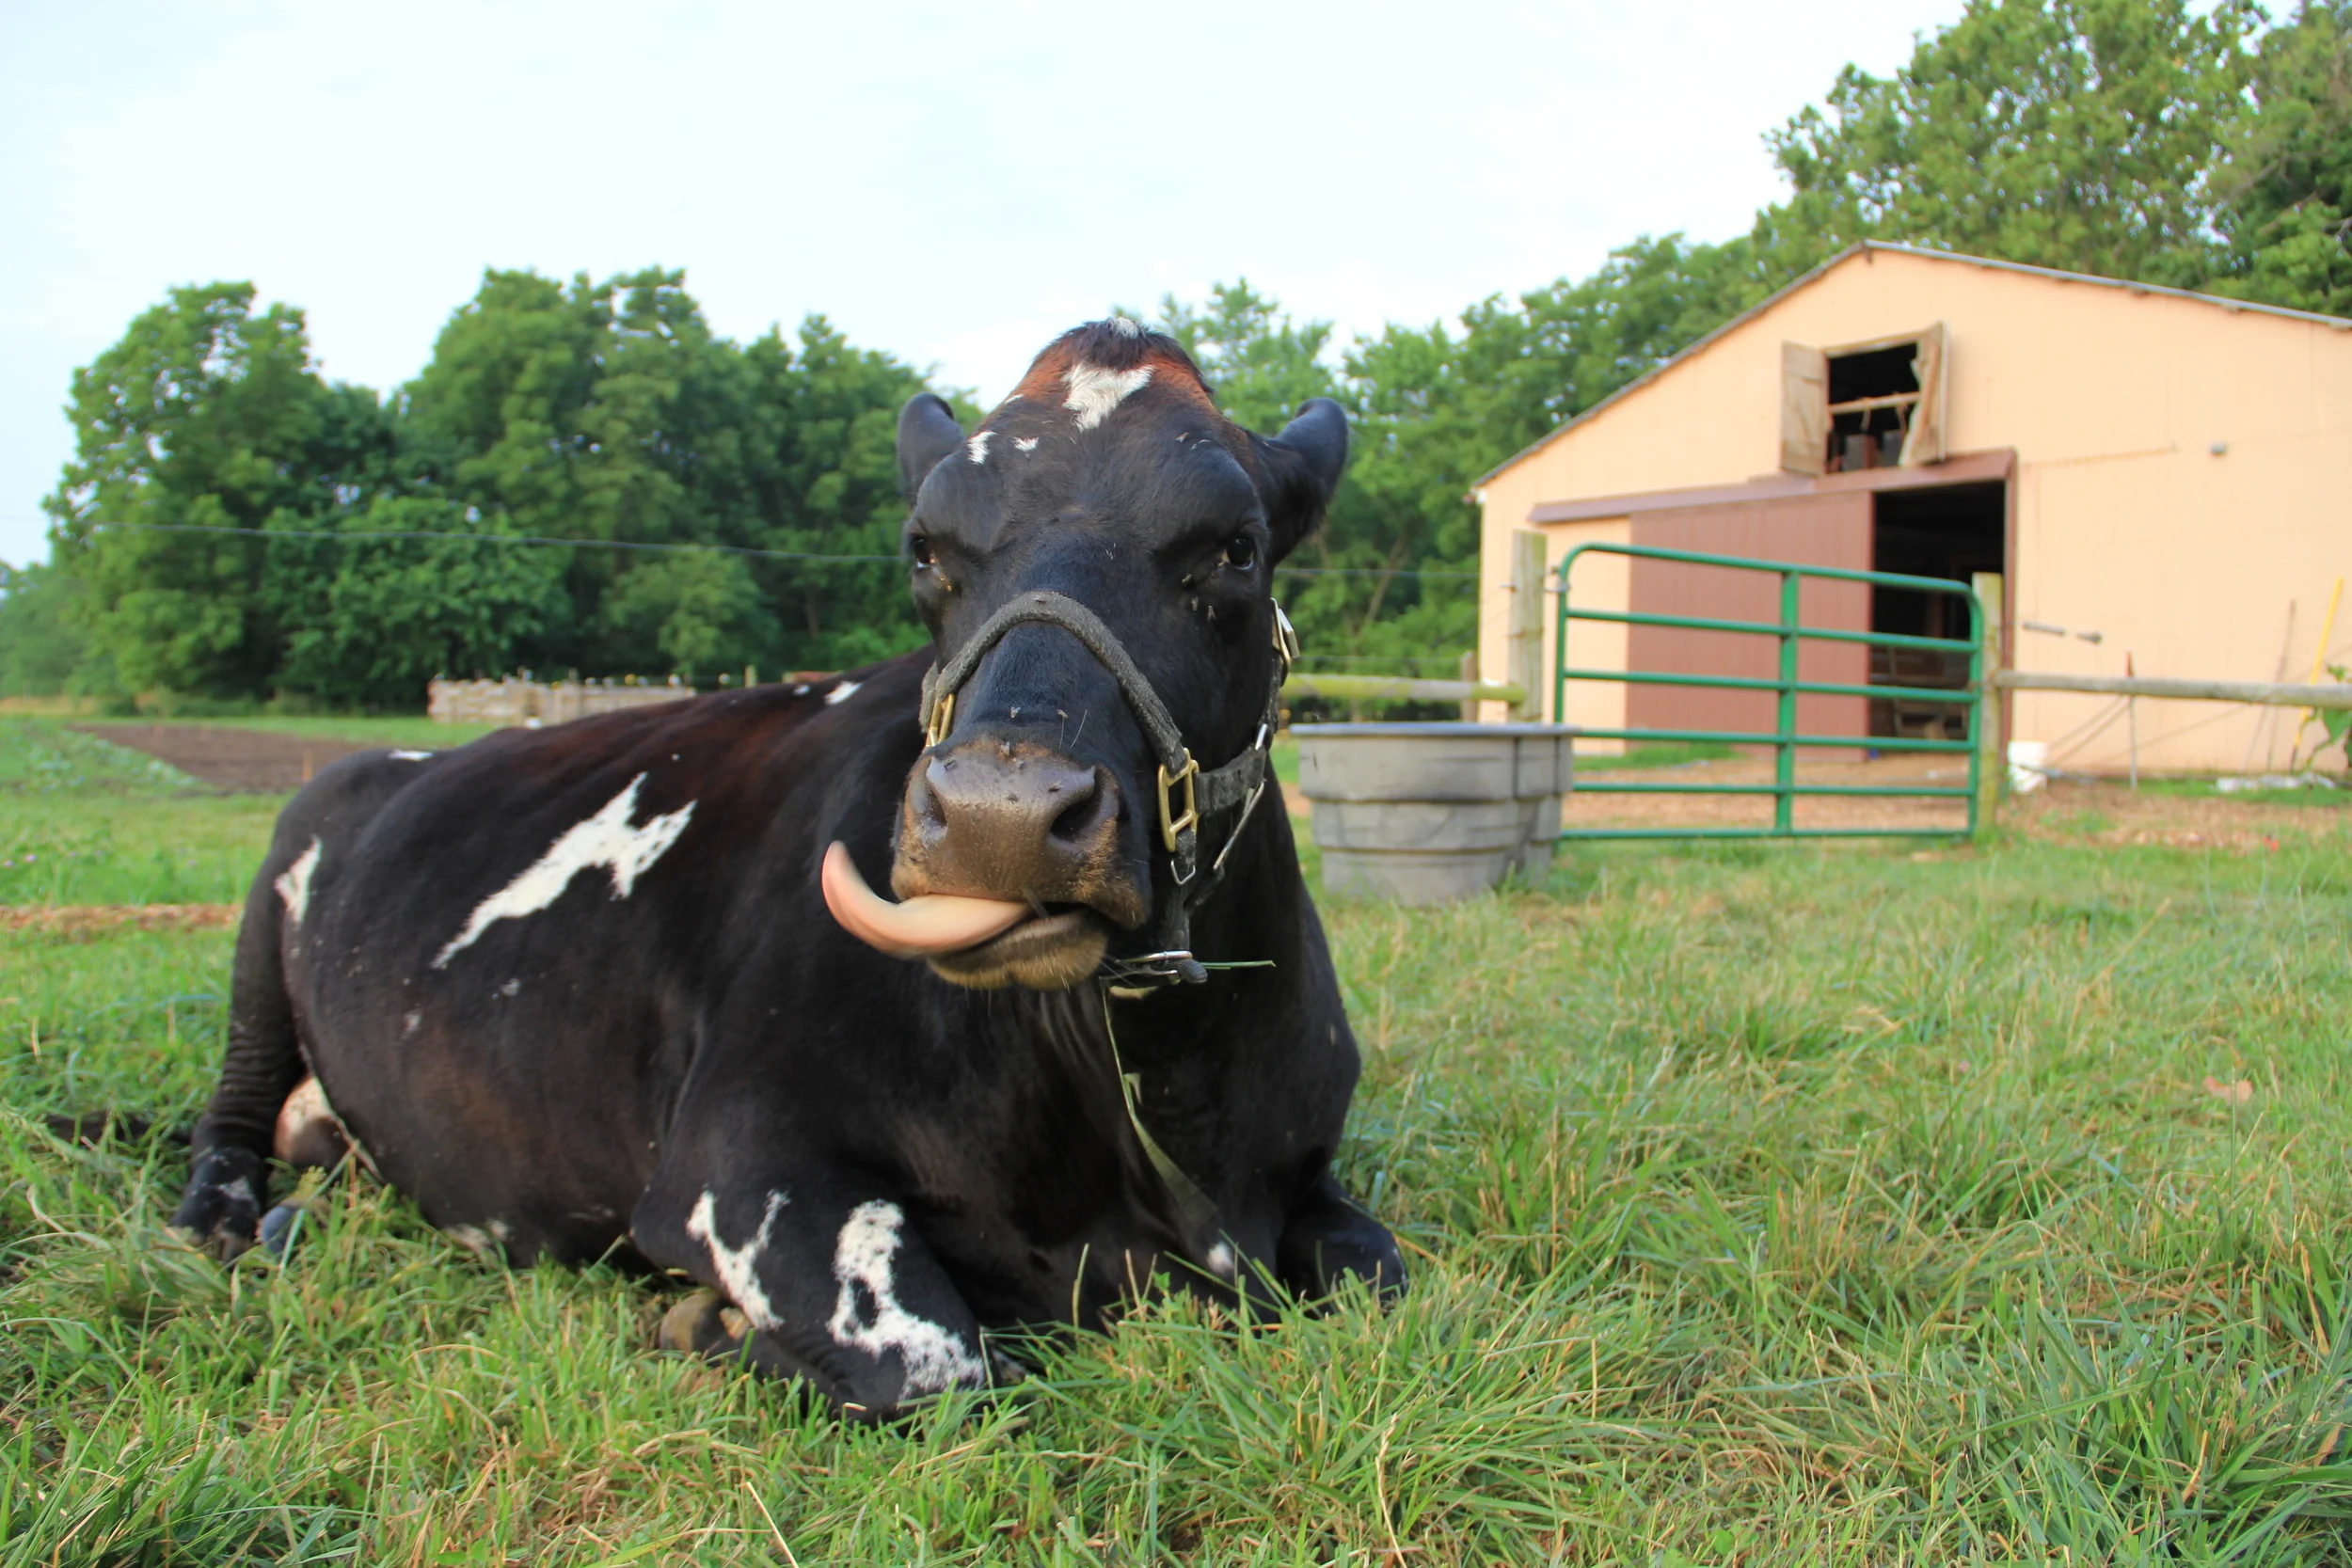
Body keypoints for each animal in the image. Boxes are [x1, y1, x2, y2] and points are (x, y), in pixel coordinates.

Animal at [169, 319, 1405, 1420]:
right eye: (924, 548)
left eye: (1233, 547)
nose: (998, 813)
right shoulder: (739, 1160)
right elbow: (935, 1366)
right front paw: (705, 1323)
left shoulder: (1303, 1169)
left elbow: (1385, 1278)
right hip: (268, 916)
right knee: (228, 1109)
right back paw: (231, 1218)